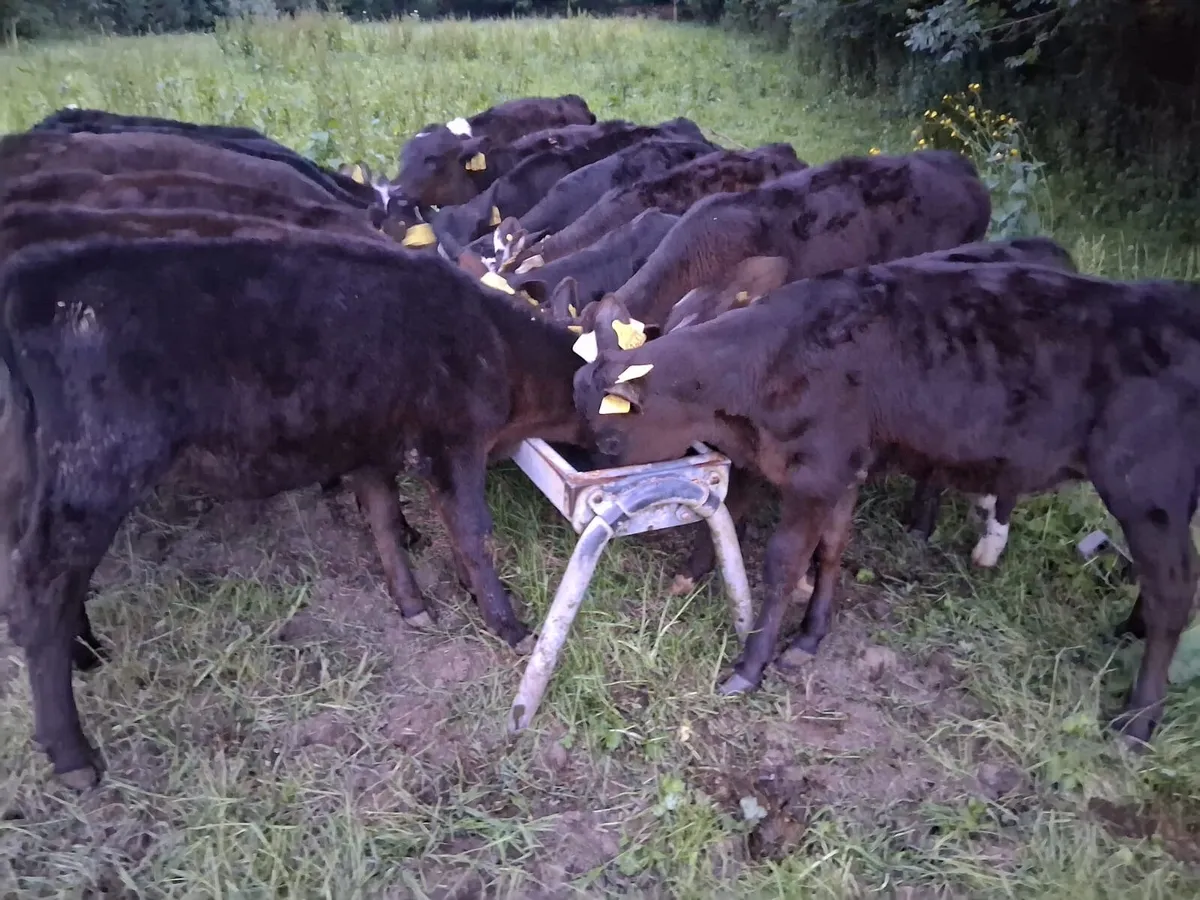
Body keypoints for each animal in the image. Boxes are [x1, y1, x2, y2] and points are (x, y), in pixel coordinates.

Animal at [0, 232, 588, 789]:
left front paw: (414, 604)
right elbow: (472, 534)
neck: (497, 344)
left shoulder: (373, 446)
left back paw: (86, 652)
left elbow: (386, 521)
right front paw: (510, 625)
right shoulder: (453, 444)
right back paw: (73, 755)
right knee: (41, 591)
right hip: (95, 475)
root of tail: (29, 281)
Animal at [571, 261, 1200, 750]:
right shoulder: (844, 470)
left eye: (609, 437)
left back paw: (1137, 722)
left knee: (1173, 595)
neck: (771, 363)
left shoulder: (815, 472)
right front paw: (809, 639)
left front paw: (751, 667)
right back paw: (1129, 632)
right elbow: (832, 549)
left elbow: (785, 563)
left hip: (1147, 491)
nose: (589, 461)